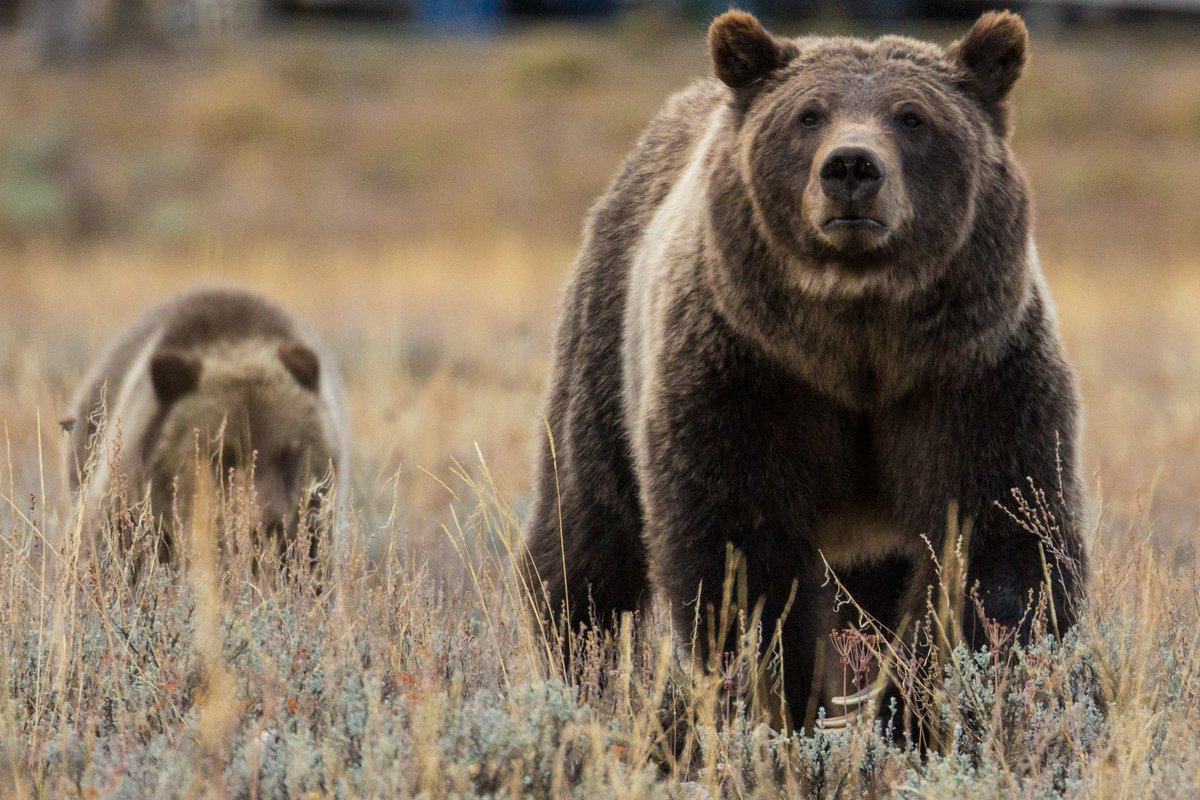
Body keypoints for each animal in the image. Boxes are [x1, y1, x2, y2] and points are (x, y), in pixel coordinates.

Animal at [522, 10, 1087, 735]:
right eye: (808, 115)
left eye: (913, 117)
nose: (851, 166)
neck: (858, 343)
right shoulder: (747, 374)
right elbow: (741, 554)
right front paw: (781, 700)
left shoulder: (972, 374)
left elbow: (999, 542)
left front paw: (914, 709)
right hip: (605, 346)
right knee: (587, 536)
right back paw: (581, 672)